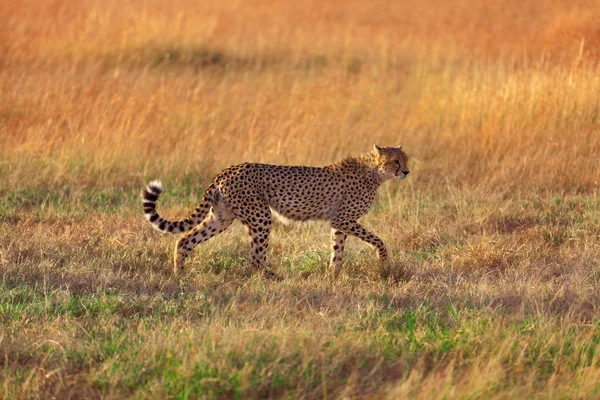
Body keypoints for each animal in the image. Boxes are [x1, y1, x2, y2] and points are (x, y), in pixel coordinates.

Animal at [143, 145, 410, 278]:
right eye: (396, 161)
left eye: (406, 159)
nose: (406, 171)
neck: (374, 172)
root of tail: (227, 169)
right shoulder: (344, 218)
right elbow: (378, 240)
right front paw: (383, 262)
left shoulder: (339, 222)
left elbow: (337, 250)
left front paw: (333, 275)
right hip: (261, 215)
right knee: (256, 256)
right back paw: (273, 277)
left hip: (221, 217)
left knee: (185, 240)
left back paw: (180, 274)